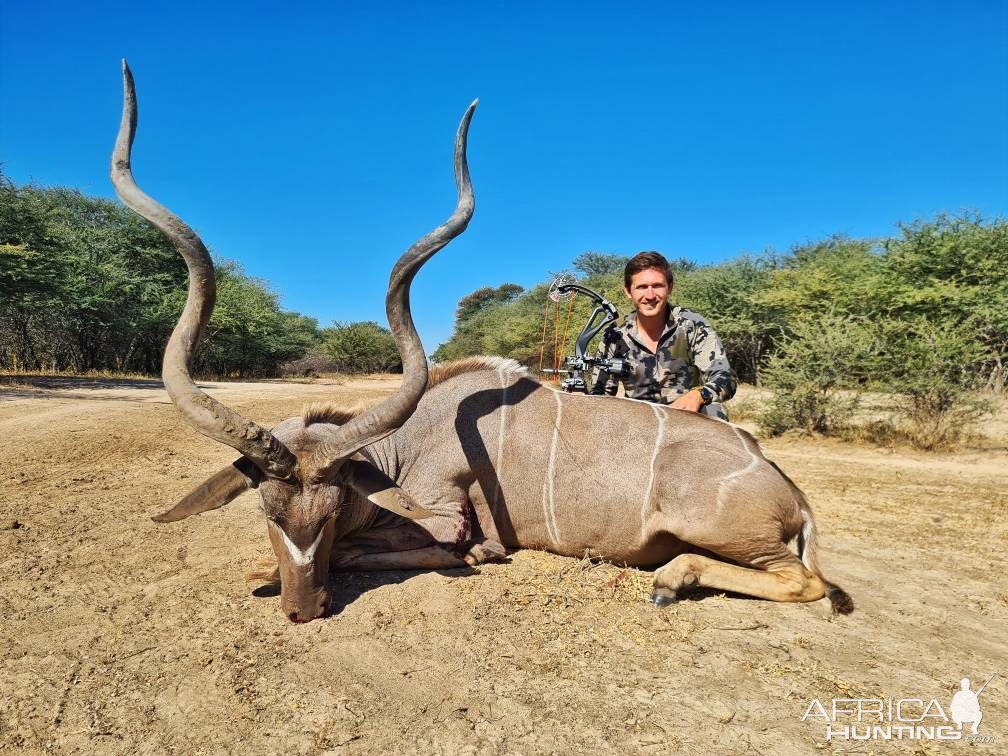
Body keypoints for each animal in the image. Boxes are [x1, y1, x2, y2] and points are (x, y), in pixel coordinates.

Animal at [112, 59, 850, 624]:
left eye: (336, 506)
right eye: (267, 510)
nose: (303, 610)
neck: (406, 444)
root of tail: (787, 488)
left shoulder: (445, 516)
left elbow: (408, 549)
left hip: (728, 534)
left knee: (806, 581)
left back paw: (672, 580)